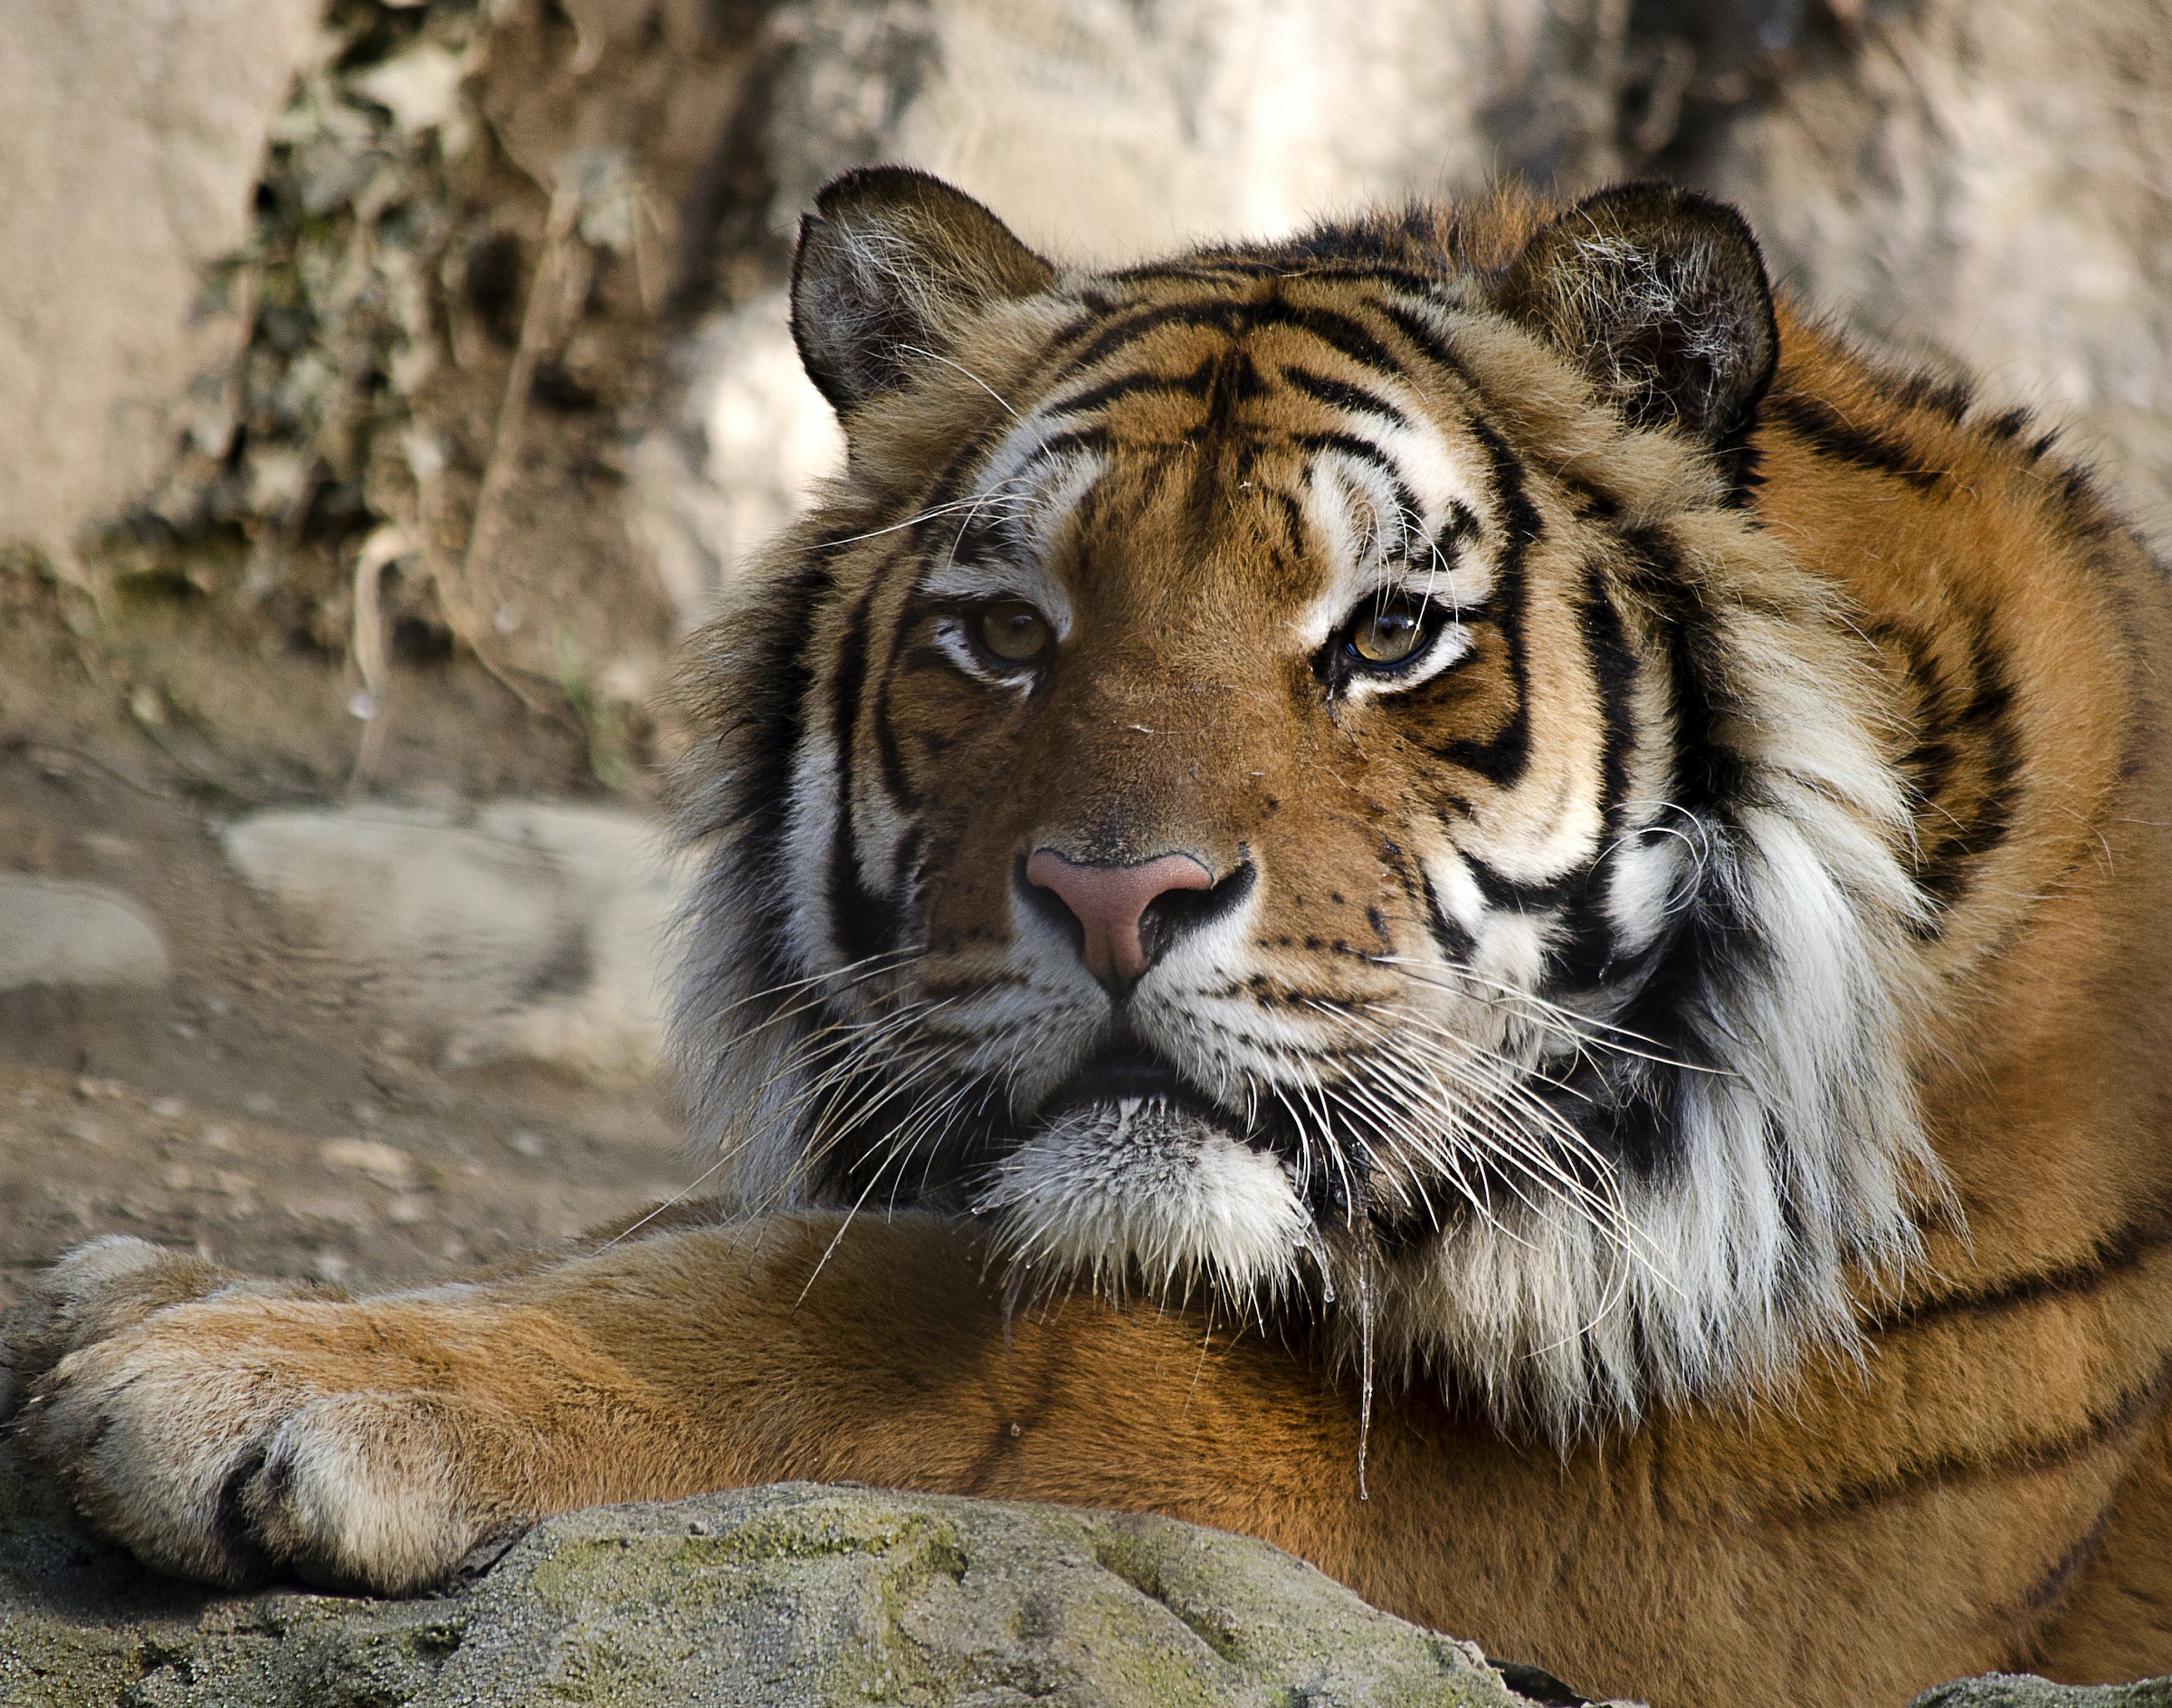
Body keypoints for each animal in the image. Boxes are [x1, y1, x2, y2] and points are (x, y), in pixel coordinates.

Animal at [6, 169, 2172, 1708]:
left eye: (1392, 631)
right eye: (1005, 631)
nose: (1119, 895)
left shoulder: (1726, 1500)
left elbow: (924, 1323)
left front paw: (247, 1371)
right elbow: (715, 1227)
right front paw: (147, 1282)